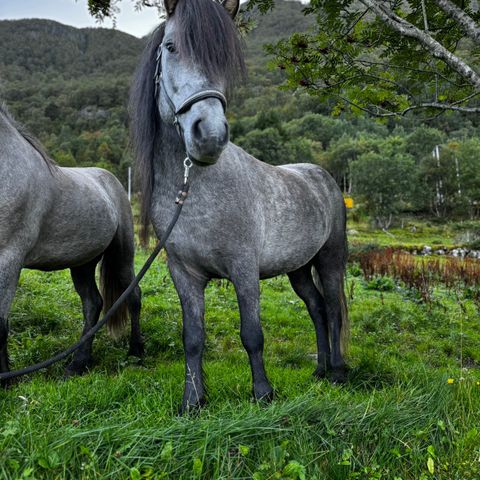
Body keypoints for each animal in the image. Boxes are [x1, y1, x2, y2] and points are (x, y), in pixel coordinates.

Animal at [0, 105, 142, 382]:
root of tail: (110, 180)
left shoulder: (9, 259)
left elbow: (0, 323)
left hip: (122, 256)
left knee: (133, 296)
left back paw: (136, 353)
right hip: (83, 263)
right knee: (93, 304)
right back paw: (79, 363)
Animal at [131, 0, 348, 412]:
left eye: (224, 60)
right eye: (171, 47)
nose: (209, 135)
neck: (196, 191)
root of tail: (321, 176)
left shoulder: (244, 269)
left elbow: (252, 333)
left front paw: (263, 394)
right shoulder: (184, 275)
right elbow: (192, 337)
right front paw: (192, 401)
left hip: (330, 259)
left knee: (333, 307)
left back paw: (339, 371)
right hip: (298, 268)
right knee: (316, 308)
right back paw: (321, 370)